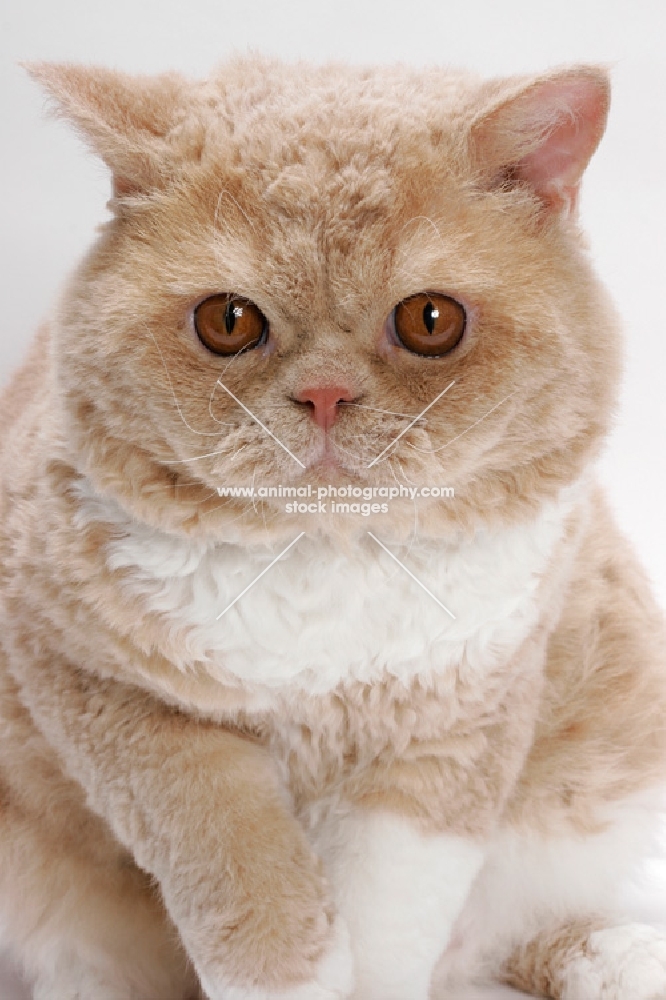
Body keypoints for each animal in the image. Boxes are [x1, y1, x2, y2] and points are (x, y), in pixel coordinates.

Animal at [1, 54, 664, 1000]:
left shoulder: (455, 736)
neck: (331, 558)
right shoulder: (112, 701)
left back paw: (629, 958)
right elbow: (250, 889)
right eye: (228, 321)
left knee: (510, 937)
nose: (323, 395)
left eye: (430, 321)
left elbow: (392, 925)